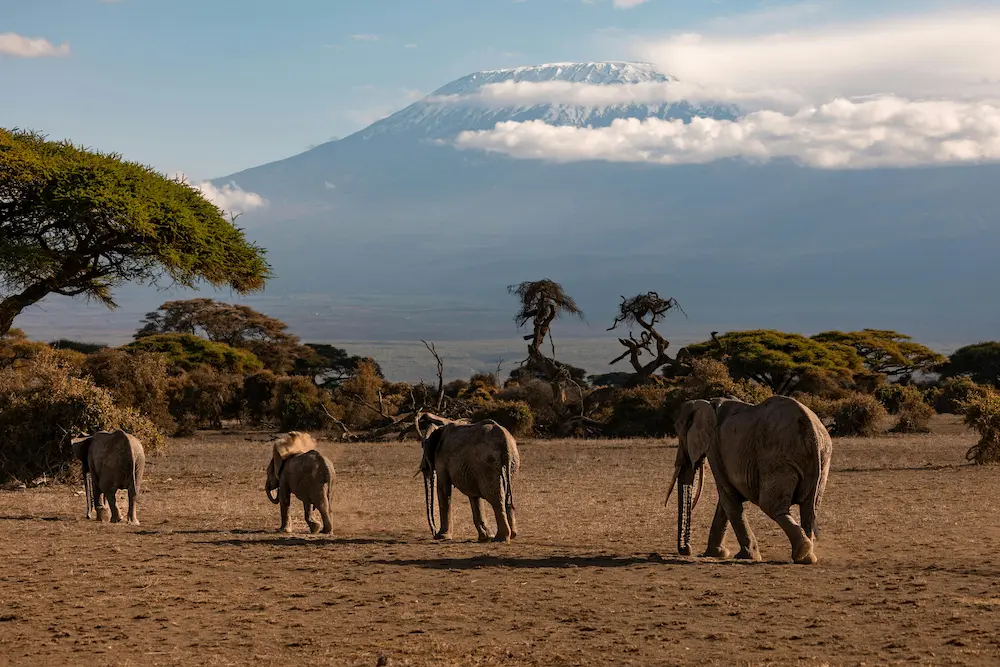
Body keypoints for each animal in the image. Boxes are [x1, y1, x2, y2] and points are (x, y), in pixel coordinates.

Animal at [664, 396, 836, 564]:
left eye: (680, 434)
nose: (686, 550)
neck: (707, 402)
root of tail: (812, 431)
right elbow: (725, 501)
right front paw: (716, 554)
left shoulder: (714, 447)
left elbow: (727, 497)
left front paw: (745, 556)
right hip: (822, 458)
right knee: (809, 508)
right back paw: (807, 557)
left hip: (778, 459)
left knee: (771, 506)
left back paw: (802, 552)